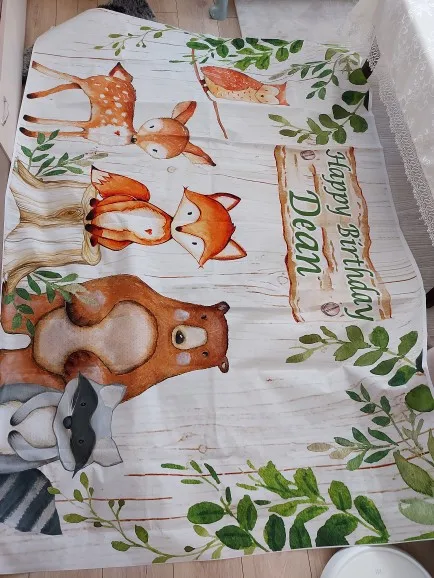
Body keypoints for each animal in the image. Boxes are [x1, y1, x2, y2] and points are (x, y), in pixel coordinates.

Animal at [0, 274, 230, 401]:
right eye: (203, 316)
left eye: (206, 353)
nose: (181, 336)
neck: (159, 333)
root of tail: (34, 344)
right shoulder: (138, 291)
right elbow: (105, 291)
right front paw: (82, 312)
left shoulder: (146, 375)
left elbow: (108, 384)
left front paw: (79, 361)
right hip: (49, 303)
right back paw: (8, 297)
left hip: (40, 375)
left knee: (17, 365)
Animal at [20, 61, 215, 166]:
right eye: (151, 125)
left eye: (155, 150)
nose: (135, 139)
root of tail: (119, 79)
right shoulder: (93, 125)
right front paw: (27, 127)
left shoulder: (88, 130)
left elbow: (63, 129)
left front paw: (28, 126)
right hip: (92, 85)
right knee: (74, 78)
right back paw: (35, 70)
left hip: (89, 92)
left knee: (72, 83)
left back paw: (32, 95)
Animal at [85, 168, 247, 267]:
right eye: (190, 213)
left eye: (194, 243)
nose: (179, 228)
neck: (166, 225)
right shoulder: (124, 206)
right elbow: (107, 208)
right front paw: (93, 213)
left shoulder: (125, 235)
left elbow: (104, 231)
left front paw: (92, 227)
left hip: (119, 244)